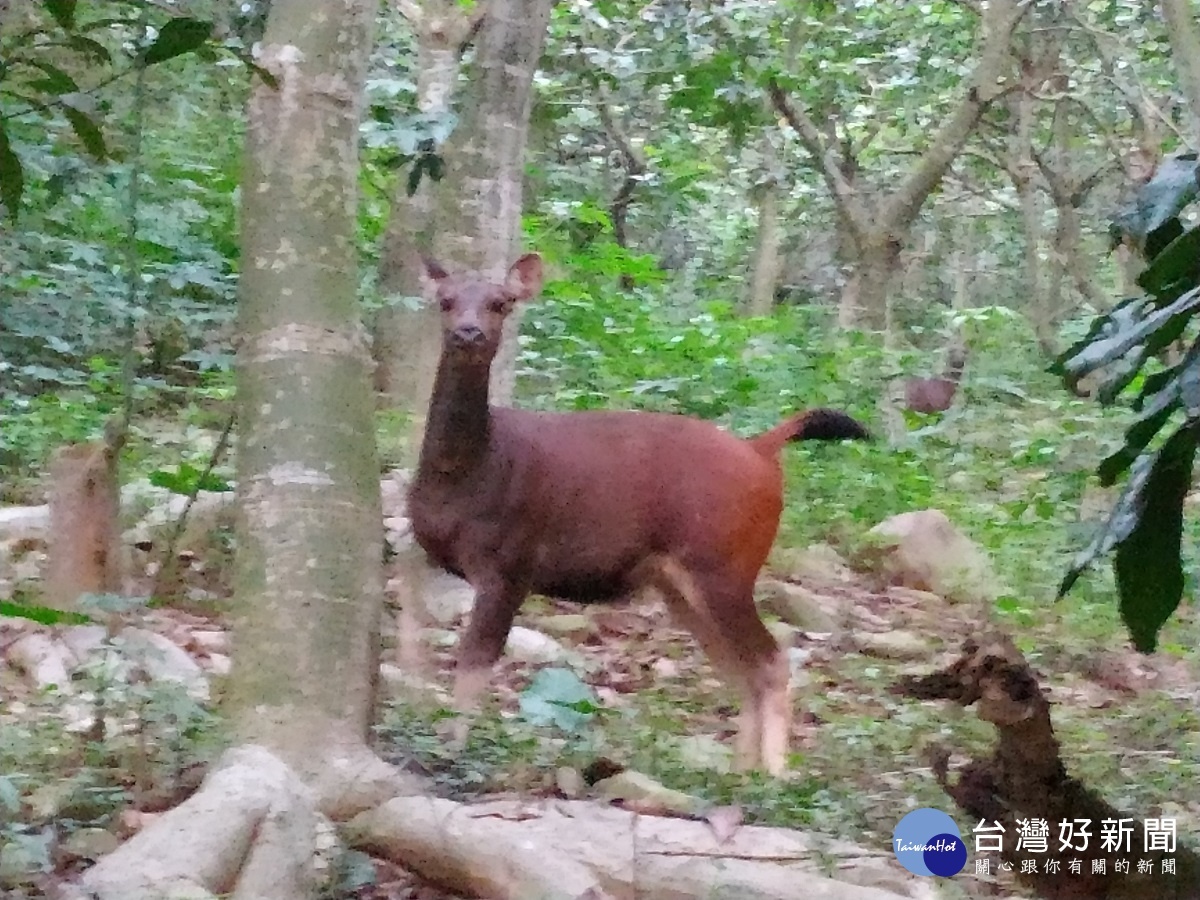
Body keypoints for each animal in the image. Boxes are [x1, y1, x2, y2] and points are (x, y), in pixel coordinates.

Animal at [408, 254, 868, 777]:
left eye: (500, 303)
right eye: (446, 301)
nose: (468, 333)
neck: (467, 472)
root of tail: (762, 452)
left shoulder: (510, 563)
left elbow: (474, 662)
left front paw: (451, 753)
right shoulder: (427, 553)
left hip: (724, 564)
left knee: (770, 660)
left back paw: (772, 774)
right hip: (679, 582)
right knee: (740, 667)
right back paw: (738, 771)